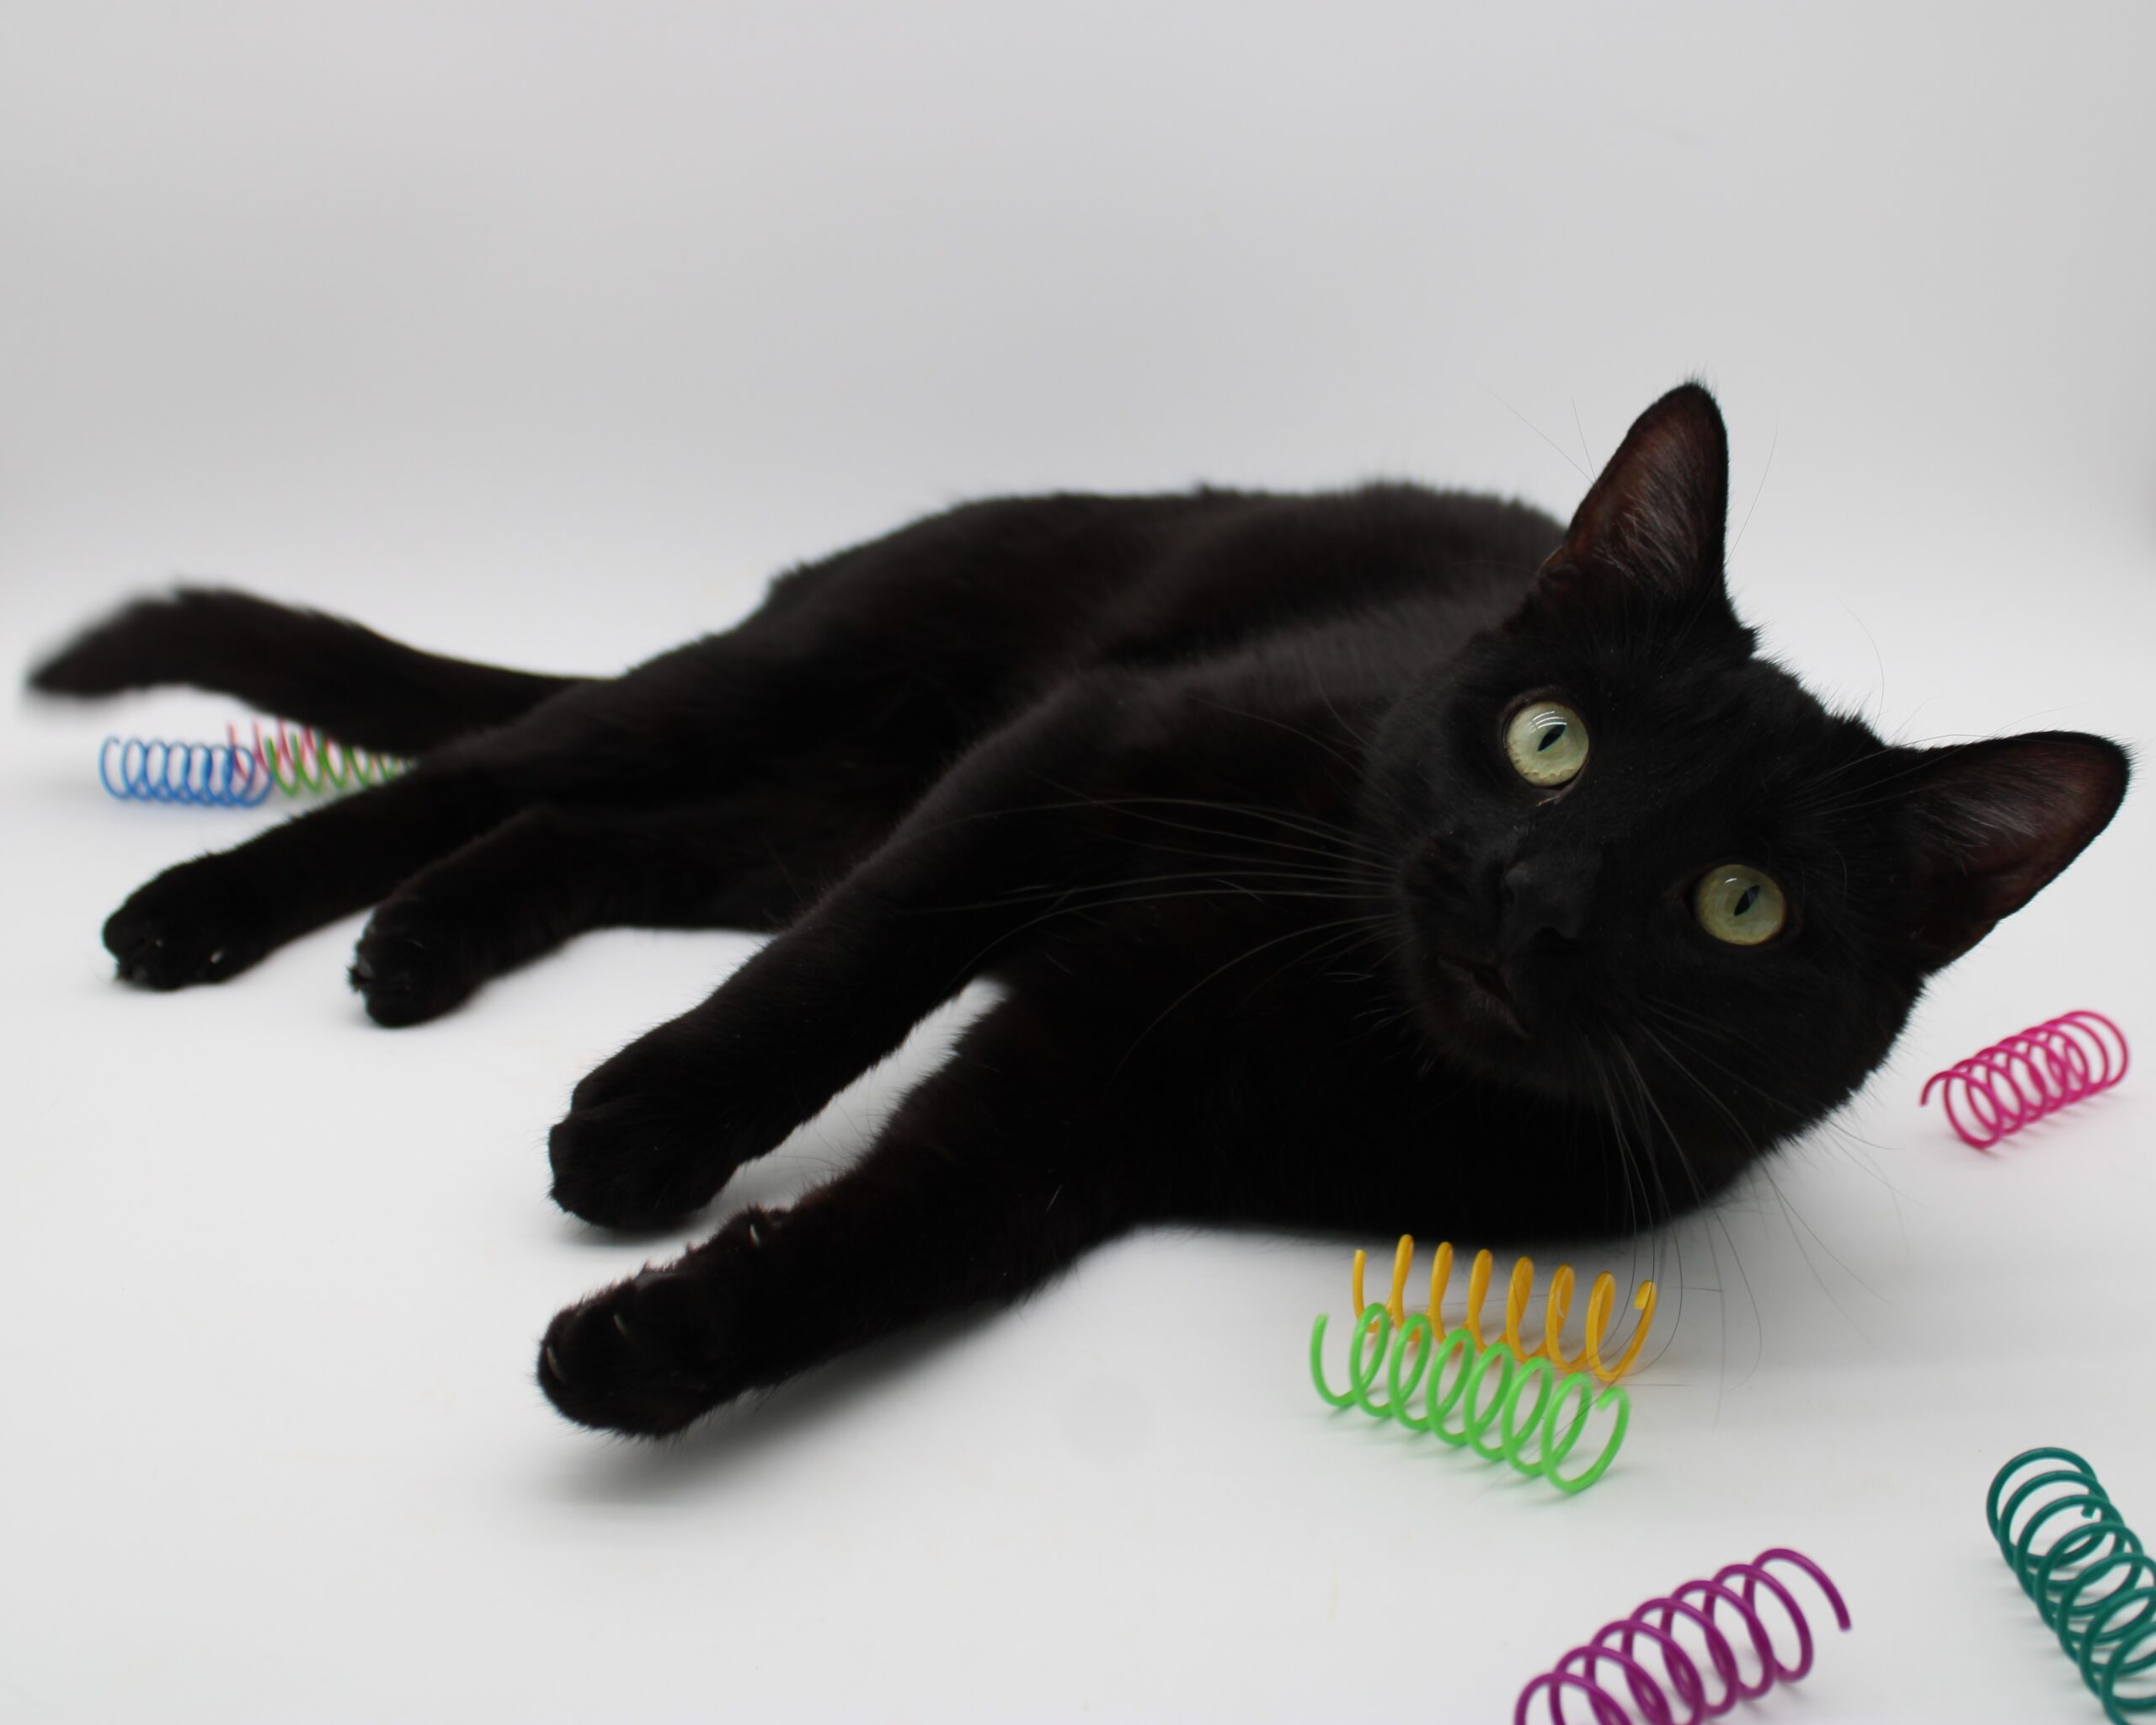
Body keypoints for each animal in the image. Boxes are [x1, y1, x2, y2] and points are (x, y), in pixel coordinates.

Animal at [29, 384, 2128, 1437]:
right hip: (810, 676)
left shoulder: (1096, 1107)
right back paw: (202, 910)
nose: (1531, 899)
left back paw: (418, 947)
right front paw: (642, 1128)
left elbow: (888, 1238)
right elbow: (852, 970)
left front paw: (643, 1354)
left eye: (1736, 905)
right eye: (1549, 740)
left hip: (782, 815)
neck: (1344, 1000)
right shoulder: (1095, 742)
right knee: (504, 764)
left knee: (579, 826)